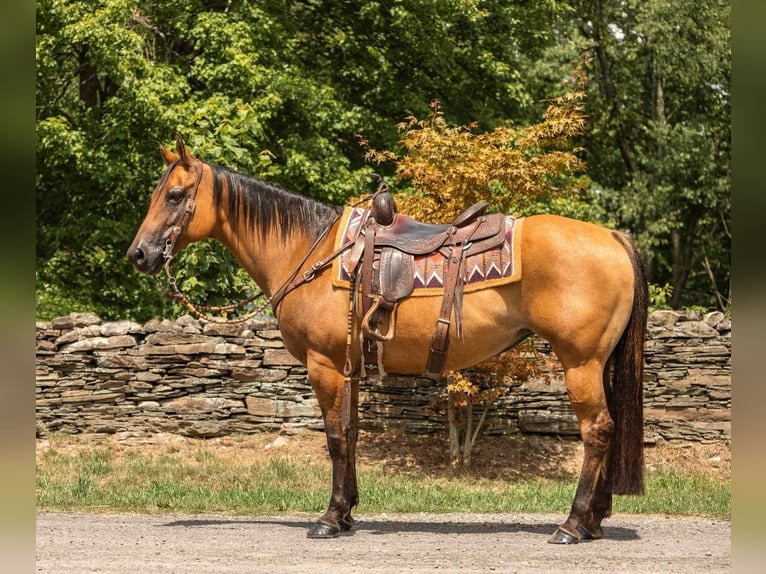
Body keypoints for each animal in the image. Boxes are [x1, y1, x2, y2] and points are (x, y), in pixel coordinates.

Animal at [126, 135, 648, 544]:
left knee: (597, 431)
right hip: (599, 363)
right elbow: (353, 433)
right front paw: (349, 512)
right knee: (610, 427)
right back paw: (594, 521)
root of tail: (613, 237)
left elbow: (336, 437)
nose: (139, 255)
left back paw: (572, 524)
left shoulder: (324, 364)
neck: (308, 250)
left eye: (175, 195)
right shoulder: (350, 367)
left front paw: (330, 517)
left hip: (580, 363)